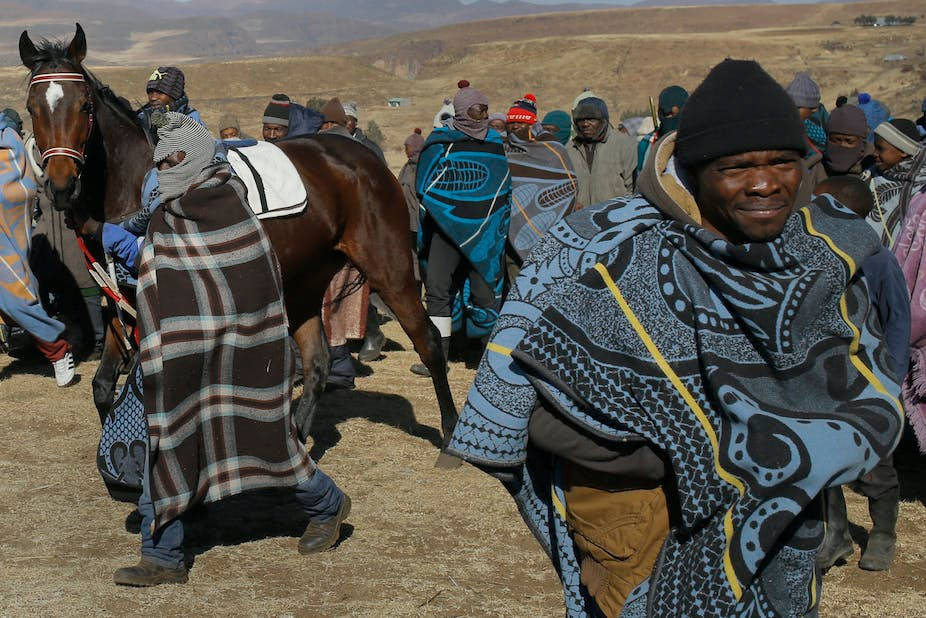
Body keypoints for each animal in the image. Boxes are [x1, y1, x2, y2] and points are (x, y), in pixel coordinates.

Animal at [23, 24, 464, 462]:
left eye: (84, 106)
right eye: (32, 107)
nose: (61, 186)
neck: (135, 181)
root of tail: (364, 159)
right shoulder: (120, 300)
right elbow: (102, 389)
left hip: (389, 267)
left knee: (428, 341)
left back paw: (449, 434)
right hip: (304, 280)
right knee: (317, 362)